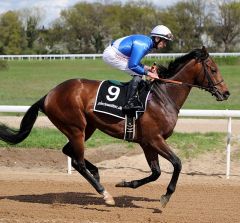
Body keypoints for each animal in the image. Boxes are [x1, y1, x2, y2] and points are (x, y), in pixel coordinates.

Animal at [0, 46, 230, 208]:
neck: (163, 97)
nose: (226, 93)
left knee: (70, 154)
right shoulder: (154, 139)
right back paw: (105, 193)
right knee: (78, 162)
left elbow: (156, 172)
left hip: (86, 128)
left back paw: (97, 173)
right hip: (76, 127)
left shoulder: (147, 143)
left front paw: (126, 184)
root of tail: (48, 95)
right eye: (213, 69)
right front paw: (166, 196)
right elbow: (177, 163)